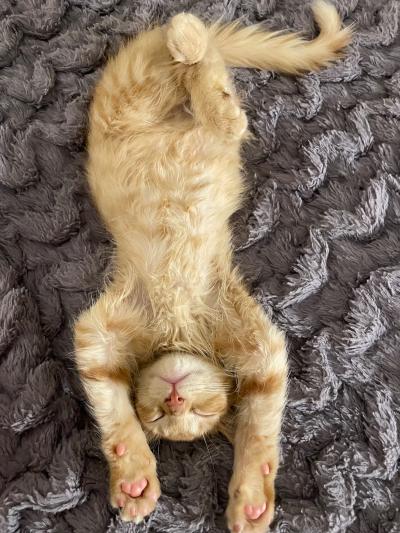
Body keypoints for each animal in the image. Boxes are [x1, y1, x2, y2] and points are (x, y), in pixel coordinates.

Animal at [74, 2, 350, 528]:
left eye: (198, 413)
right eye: (160, 415)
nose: (175, 396)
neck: (179, 330)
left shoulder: (256, 342)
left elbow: (261, 423)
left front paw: (252, 495)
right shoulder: (98, 333)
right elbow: (111, 402)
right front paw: (133, 472)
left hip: (157, 102)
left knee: (219, 101)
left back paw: (189, 37)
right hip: (134, 101)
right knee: (213, 93)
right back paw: (188, 37)